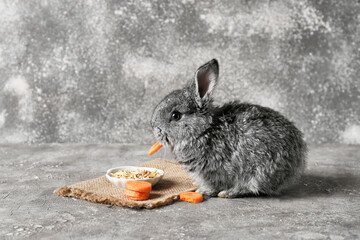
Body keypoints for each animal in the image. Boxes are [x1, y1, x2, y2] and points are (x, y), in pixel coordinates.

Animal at [149, 58, 306, 197]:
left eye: (175, 115)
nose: (155, 128)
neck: (203, 130)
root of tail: (297, 158)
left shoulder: (212, 171)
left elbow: (213, 184)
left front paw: (203, 191)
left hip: (259, 169)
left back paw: (229, 193)